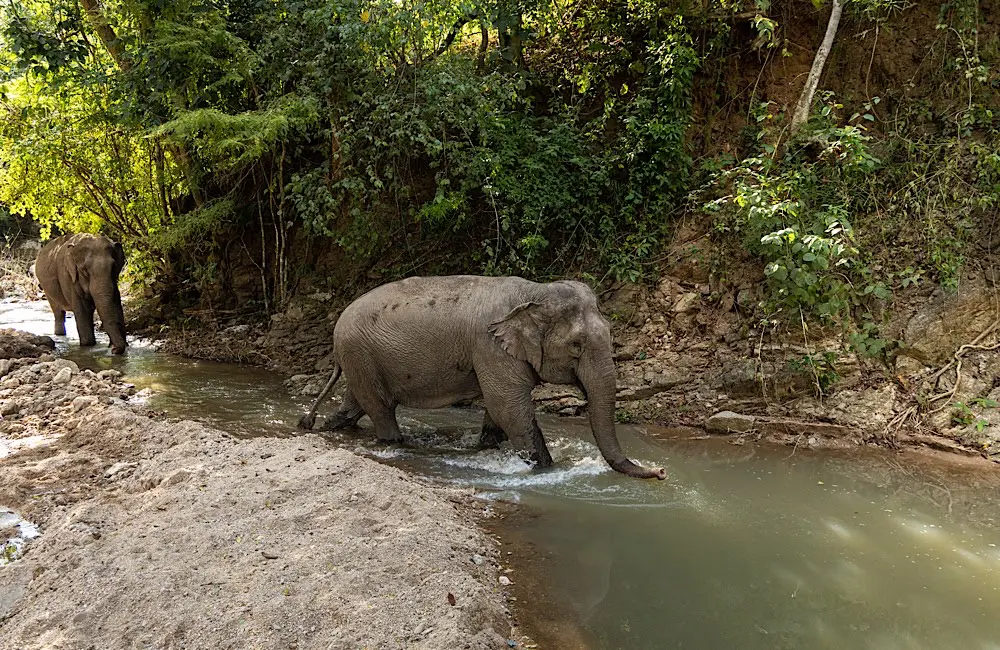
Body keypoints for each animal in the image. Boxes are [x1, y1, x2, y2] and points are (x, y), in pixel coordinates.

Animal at [298, 275, 665, 480]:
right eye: (576, 346)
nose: (661, 472)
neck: (534, 292)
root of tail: (337, 326)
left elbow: (498, 410)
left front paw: (486, 447)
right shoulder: (490, 347)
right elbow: (509, 407)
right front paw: (548, 470)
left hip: (360, 359)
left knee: (356, 404)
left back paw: (326, 428)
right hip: (360, 352)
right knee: (381, 409)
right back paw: (395, 444)